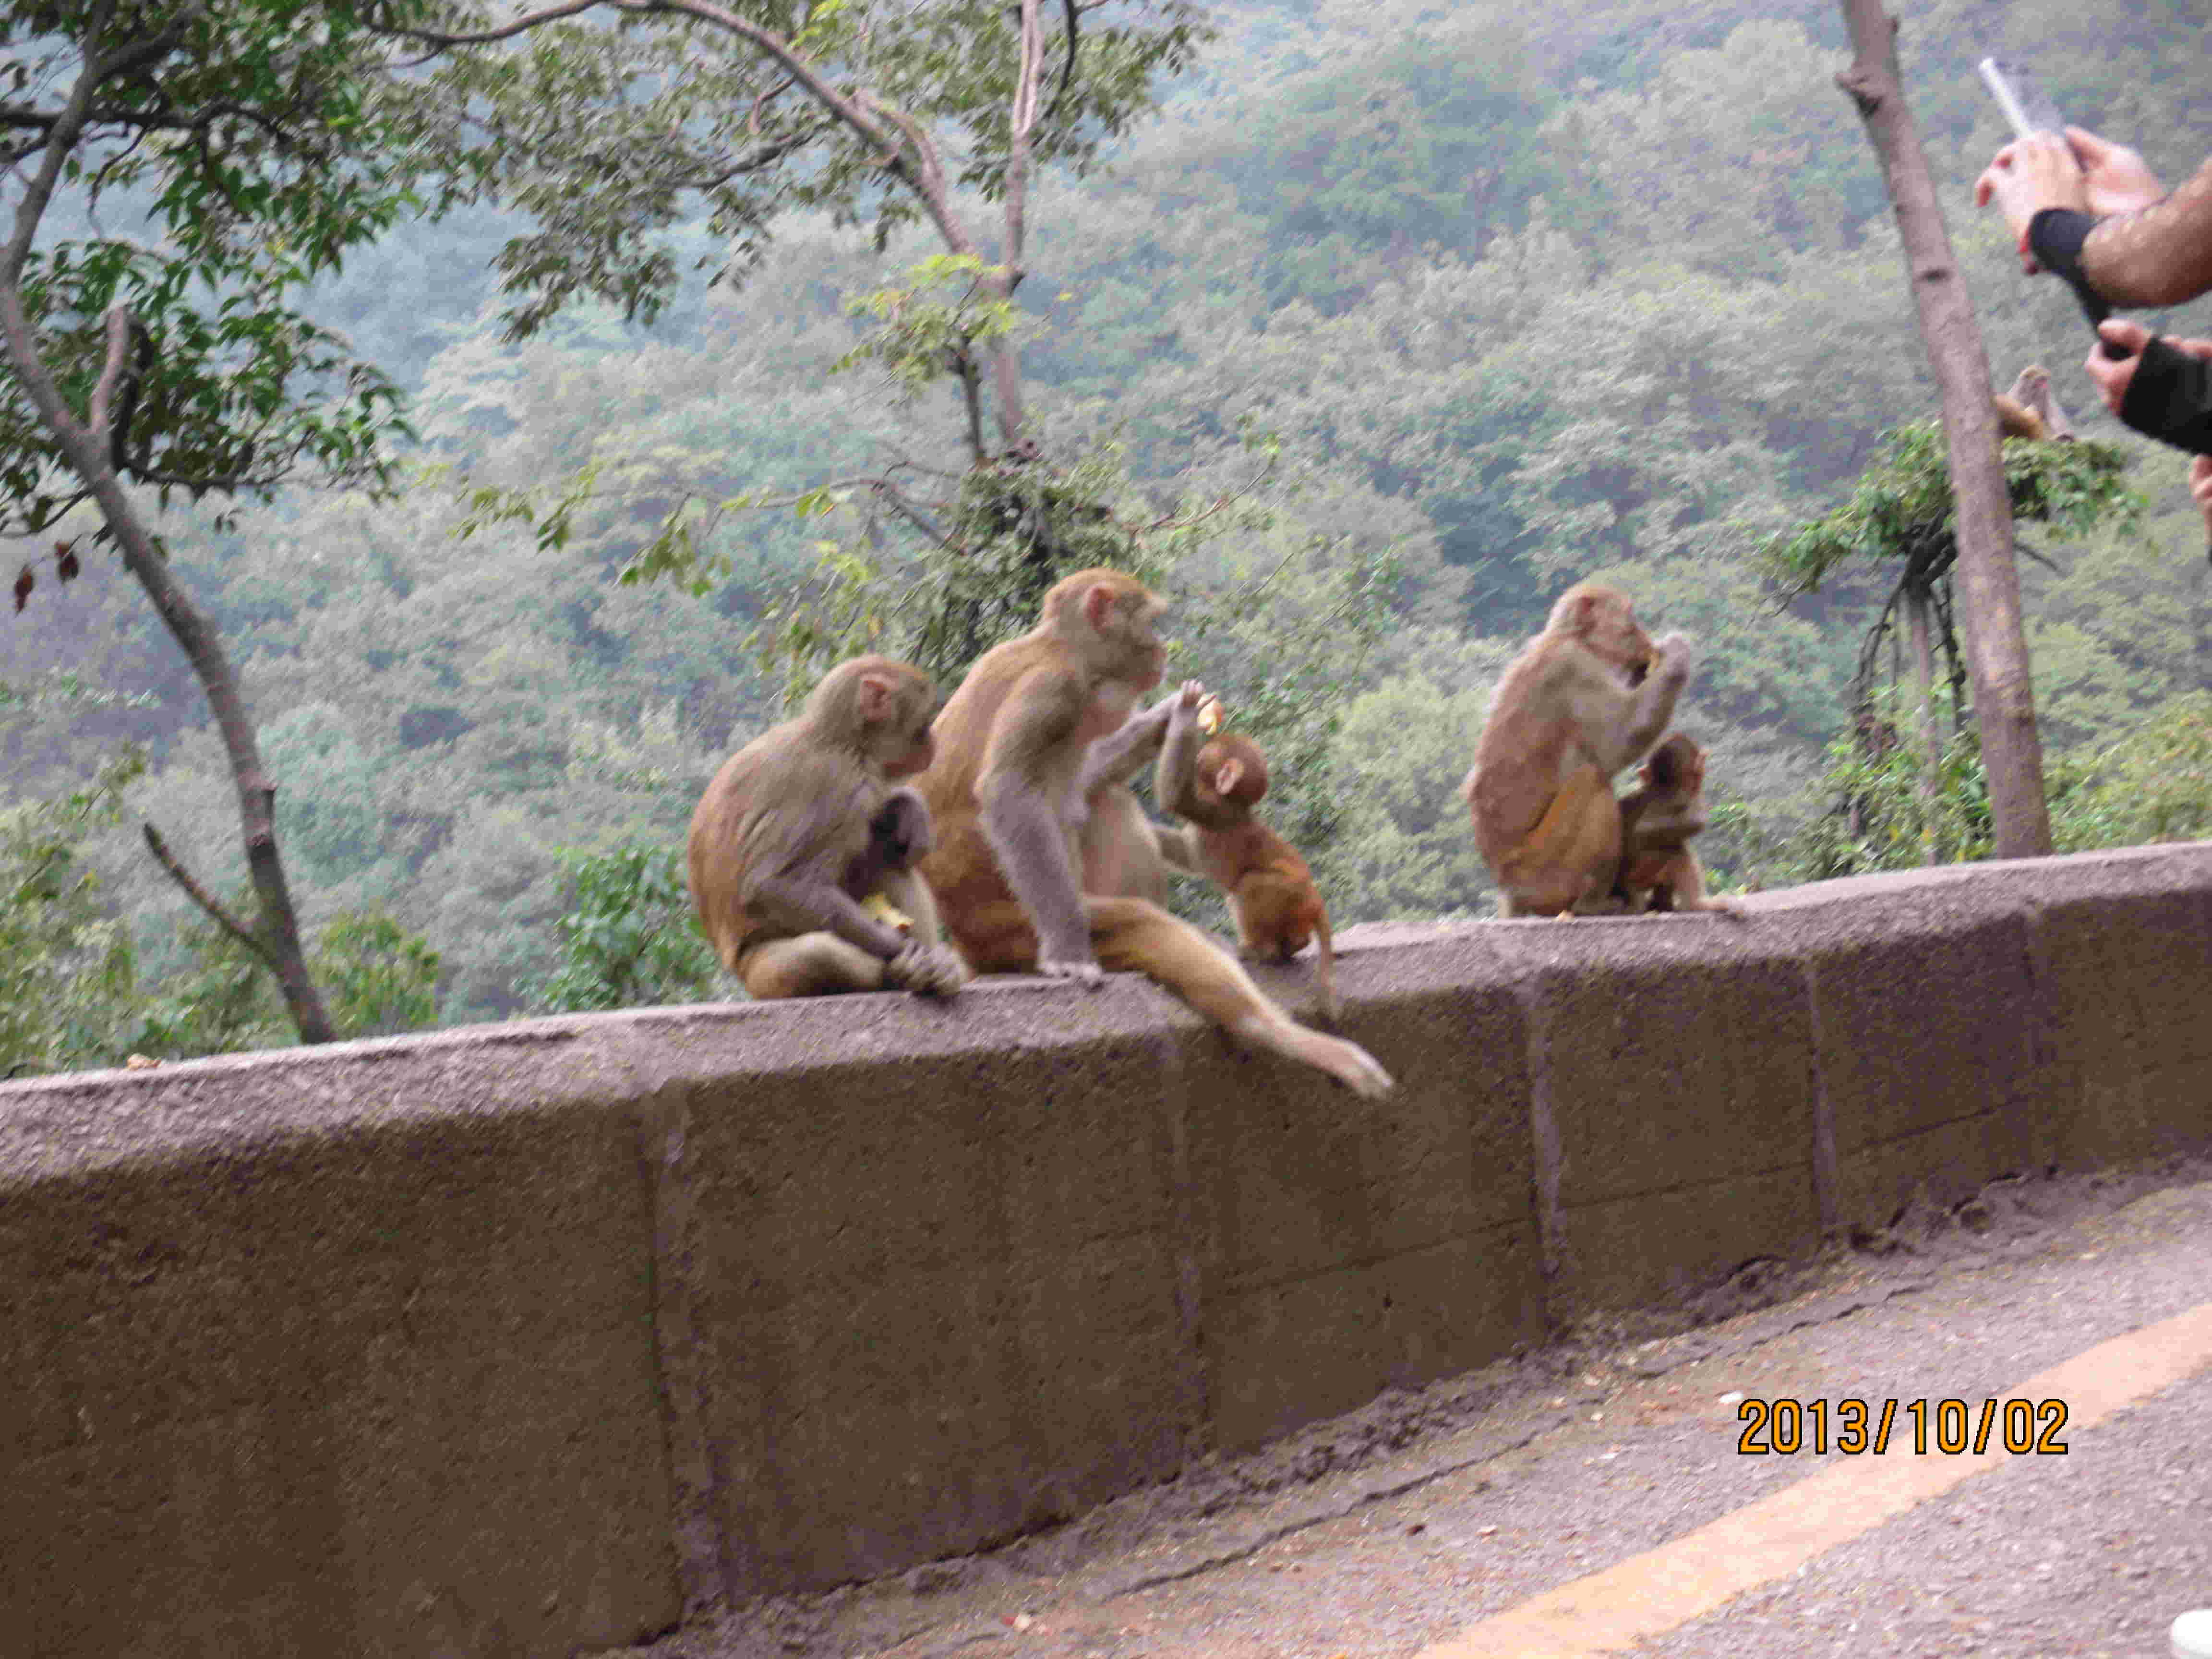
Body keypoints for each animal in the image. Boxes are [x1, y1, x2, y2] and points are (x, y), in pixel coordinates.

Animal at [690, 654, 969, 999]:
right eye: (926, 723)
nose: (934, 744)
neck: (845, 743)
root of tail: (737, 970)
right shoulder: (835, 782)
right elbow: (774, 885)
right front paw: (902, 949)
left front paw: (909, 808)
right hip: (761, 975)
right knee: (817, 953)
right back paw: (902, 972)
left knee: (885, 855)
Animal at [1150, 681, 1336, 1022]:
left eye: (1207, 755)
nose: (1201, 752)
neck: (1232, 801)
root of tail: (1315, 898)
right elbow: (1187, 854)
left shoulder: (1211, 809)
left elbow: (1174, 797)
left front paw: (1186, 708)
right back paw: (1293, 945)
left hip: (1289, 894)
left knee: (1249, 885)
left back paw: (1260, 949)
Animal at [1468, 584, 1690, 925]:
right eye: (1631, 620)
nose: (1645, 642)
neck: (1571, 638)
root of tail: (1509, 886)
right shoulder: (1575, 669)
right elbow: (1621, 739)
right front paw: (1675, 654)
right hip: (1546, 870)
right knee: (1592, 780)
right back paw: (1594, 905)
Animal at [1601, 734, 1734, 915]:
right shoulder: (1669, 800)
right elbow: (1647, 829)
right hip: (1639, 876)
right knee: (1675, 848)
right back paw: (1694, 905)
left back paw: (1664, 904)